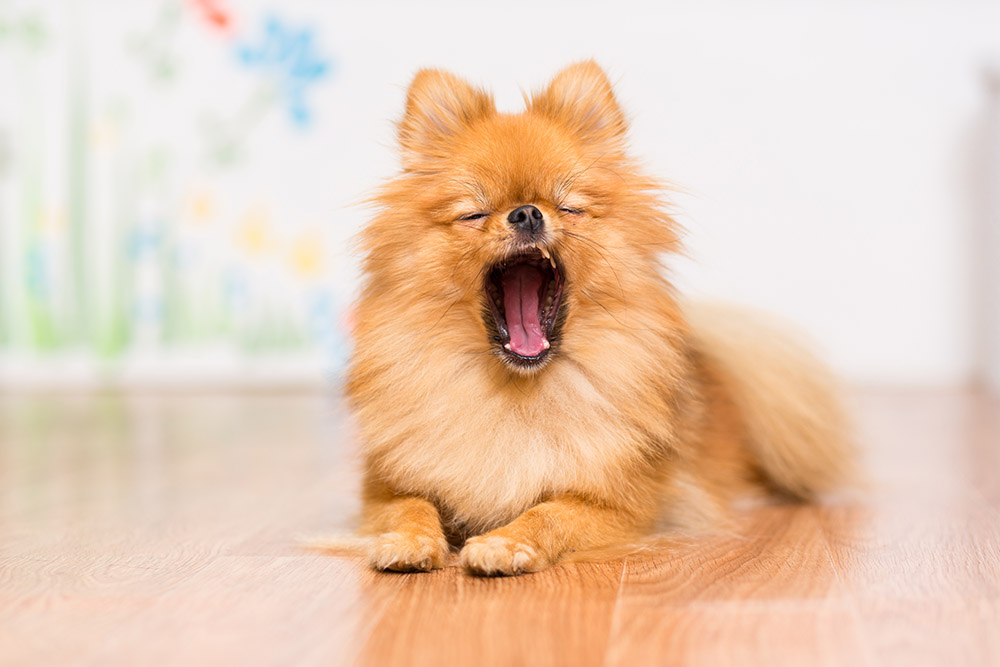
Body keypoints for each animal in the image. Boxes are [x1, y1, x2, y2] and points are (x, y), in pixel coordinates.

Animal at [348, 60, 856, 576]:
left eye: (569, 207)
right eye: (474, 214)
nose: (526, 213)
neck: (517, 391)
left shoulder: (625, 508)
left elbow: (552, 512)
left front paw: (507, 542)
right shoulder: (383, 490)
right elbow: (409, 505)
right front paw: (407, 539)